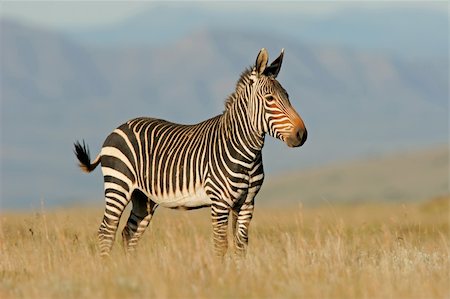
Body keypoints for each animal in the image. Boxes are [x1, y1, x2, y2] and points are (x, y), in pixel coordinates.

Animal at [74, 48, 306, 258]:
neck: (246, 153)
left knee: (128, 234)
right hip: (118, 186)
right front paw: (220, 275)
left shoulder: (247, 203)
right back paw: (108, 268)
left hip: (143, 198)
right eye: (269, 99)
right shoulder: (220, 202)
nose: (302, 134)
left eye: (287, 96)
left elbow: (241, 246)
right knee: (106, 232)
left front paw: (238, 274)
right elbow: (220, 245)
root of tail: (117, 129)